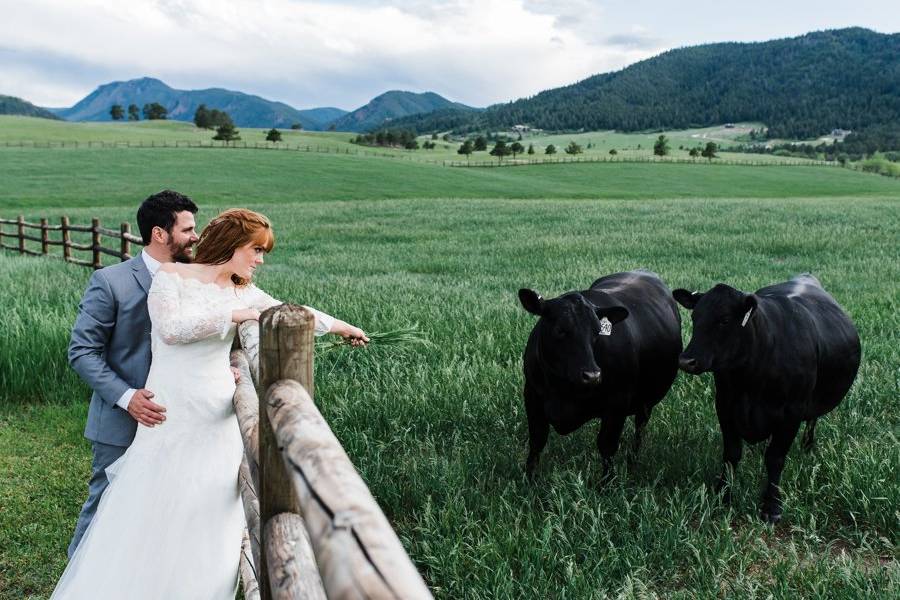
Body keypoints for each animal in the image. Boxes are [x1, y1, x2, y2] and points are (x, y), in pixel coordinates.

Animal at [520, 270, 684, 478]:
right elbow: (537, 441)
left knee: (639, 430)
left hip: (646, 402)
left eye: (597, 332)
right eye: (560, 330)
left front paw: (607, 482)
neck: (563, 388)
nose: (592, 376)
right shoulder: (532, 395)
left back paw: (632, 464)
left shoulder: (618, 403)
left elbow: (607, 446)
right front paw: (530, 479)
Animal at [672, 274, 860, 524]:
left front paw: (771, 505)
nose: (686, 360)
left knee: (812, 422)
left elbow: (775, 458)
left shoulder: (791, 414)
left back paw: (807, 447)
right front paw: (723, 494)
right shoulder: (725, 405)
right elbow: (731, 454)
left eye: (724, 320)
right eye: (695, 317)